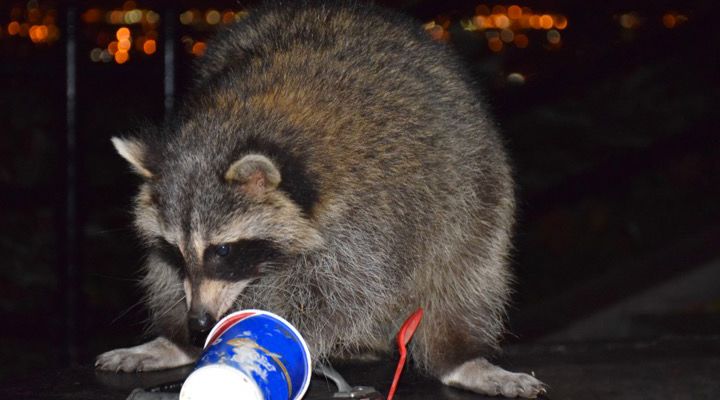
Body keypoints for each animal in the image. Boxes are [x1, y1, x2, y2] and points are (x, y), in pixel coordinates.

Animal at [96, 1, 544, 397]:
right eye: (175, 249)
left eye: (222, 250)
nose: (199, 324)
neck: (236, 120)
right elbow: (173, 275)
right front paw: (187, 335)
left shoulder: (374, 206)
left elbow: (342, 291)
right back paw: (172, 340)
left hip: (473, 188)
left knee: (465, 272)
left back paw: (459, 356)